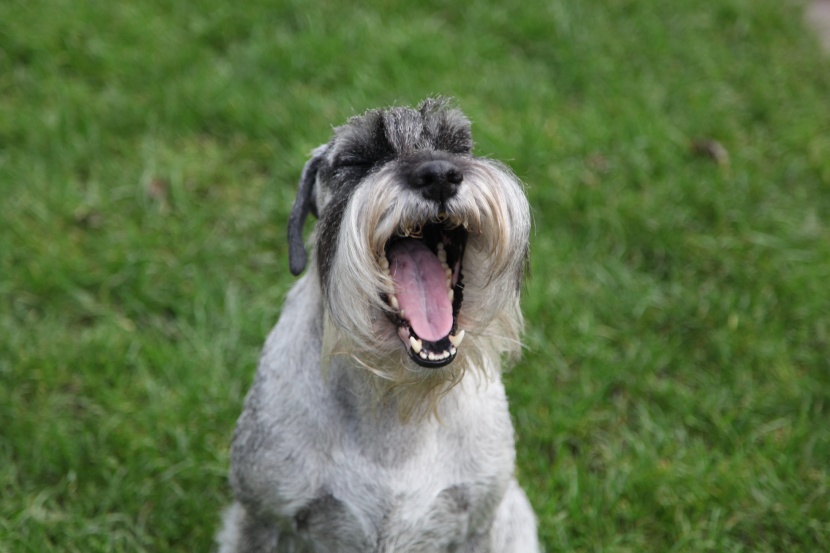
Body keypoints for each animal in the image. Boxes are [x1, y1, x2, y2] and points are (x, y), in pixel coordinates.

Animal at [218, 100, 544, 552]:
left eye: (458, 145)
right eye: (354, 161)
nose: (439, 174)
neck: (395, 402)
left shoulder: (483, 524)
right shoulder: (263, 521)